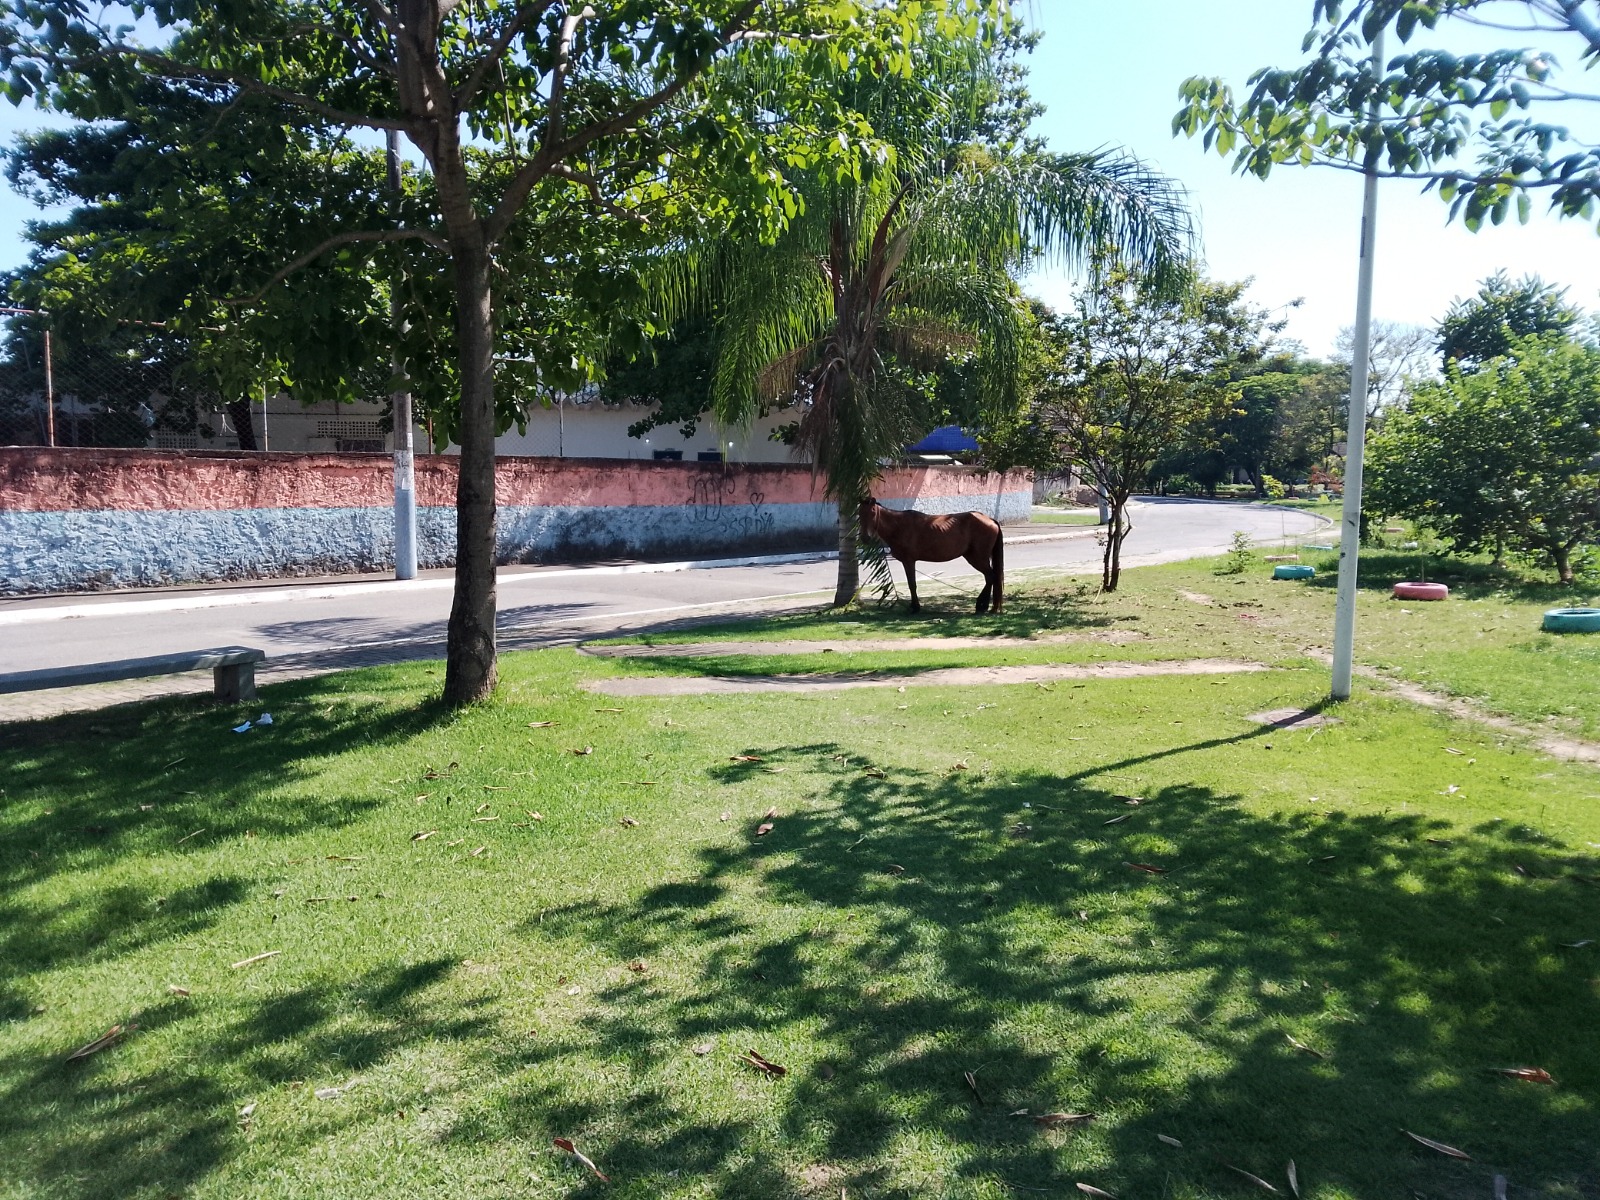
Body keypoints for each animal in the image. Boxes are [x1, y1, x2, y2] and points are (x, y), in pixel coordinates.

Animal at [859, 499, 1005, 614]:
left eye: (873, 511)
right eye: (860, 513)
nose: (865, 538)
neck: (899, 526)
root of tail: (990, 520)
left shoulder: (909, 561)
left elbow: (912, 584)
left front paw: (915, 608)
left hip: (978, 558)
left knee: (990, 577)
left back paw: (982, 606)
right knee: (989, 578)